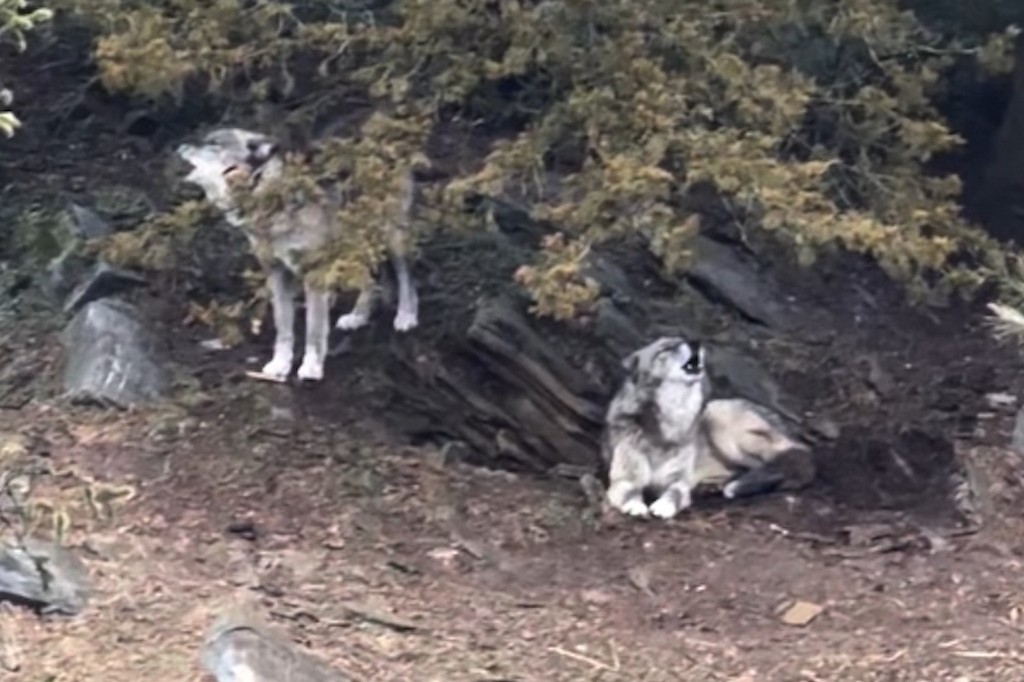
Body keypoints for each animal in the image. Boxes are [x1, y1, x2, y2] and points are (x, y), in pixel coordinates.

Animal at [175, 127, 420, 382]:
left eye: (214, 144)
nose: (179, 146)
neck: (266, 194)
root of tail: (382, 140)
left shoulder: (314, 273)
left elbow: (314, 328)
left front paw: (311, 367)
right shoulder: (276, 274)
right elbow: (283, 328)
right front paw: (280, 365)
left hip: (393, 238)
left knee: (407, 277)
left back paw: (406, 316)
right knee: (371, 281)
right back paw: (358, 316)